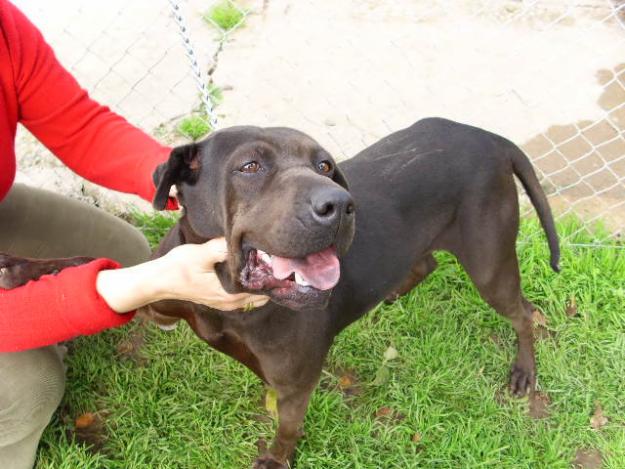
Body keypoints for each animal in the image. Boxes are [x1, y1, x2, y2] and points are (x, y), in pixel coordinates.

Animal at [1, 119, 560, 466]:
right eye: (250, 167)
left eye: (326, 166)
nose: (340, 205)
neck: (230, 294)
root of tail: (490, 137)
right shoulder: (159, 297)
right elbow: (98, 270)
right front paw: (25, 269)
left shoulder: (294, 384)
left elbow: (288, 427)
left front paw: (275, 459)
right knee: (425, 260)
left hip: (489, 262)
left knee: (524, 312)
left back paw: (523, 371)